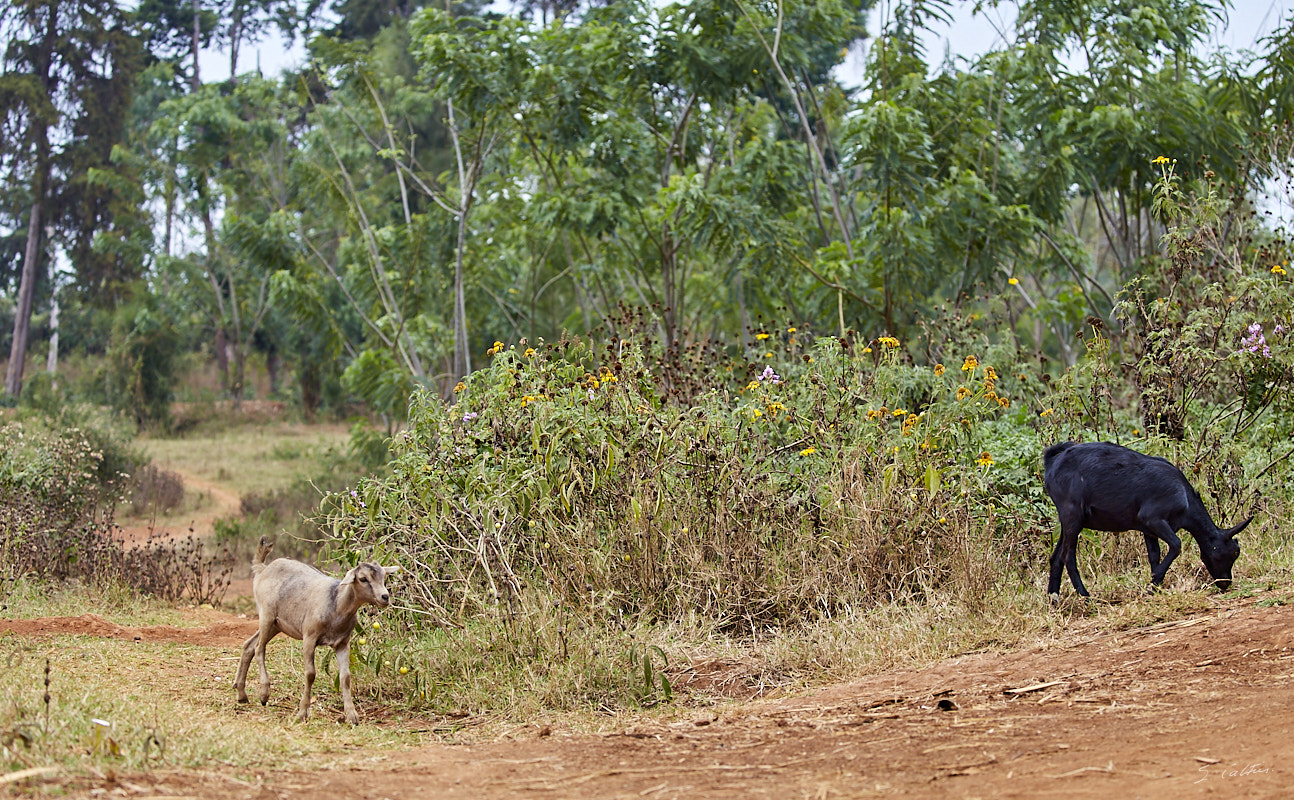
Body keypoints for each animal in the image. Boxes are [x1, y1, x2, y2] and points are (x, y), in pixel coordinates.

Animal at [231, 538, 393, 719]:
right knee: (259, 648)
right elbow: (310, 674)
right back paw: (264, 693)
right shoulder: (309, 637)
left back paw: (241, 694)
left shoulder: (343, 642)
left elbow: (345, 677)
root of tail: (263, 568)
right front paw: (302, 713)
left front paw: (352, 715)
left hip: (277, 624)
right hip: (266, 615)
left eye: (383, 575)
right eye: (363, 579)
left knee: (249, 645)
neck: (336, 603)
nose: (385, 597)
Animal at [1040, 440, 1242, 595]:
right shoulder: (1153, 519)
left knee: (1056, 556)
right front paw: (1153, 583)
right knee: (1068, 556)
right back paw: (1085, 596)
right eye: (1233, 553)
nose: (1225, 583)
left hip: (1070, 520)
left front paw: (1156, 585)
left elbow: (1154, 555)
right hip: (1072, 514)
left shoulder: (1149, 530)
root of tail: (1051, 463)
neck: (1183, 496)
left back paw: (1054, 598)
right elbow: (1176, 545)